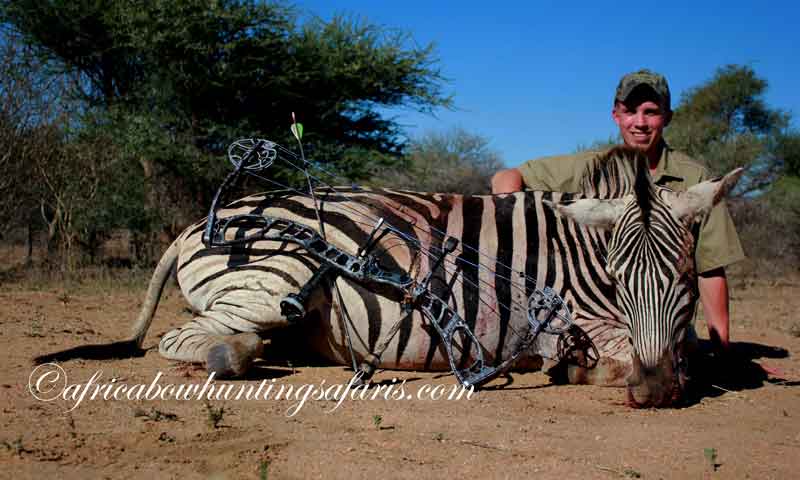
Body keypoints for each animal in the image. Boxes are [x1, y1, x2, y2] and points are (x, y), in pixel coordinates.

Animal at [37, 147, 742, 407]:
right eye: (620, 278)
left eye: (685, 279)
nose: (654, 392)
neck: (578, 258)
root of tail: (192, 226)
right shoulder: (586, 324)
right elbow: (621, 357)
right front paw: (573, 369)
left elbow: (691, 347)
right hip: (277, 273)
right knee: (186, 340)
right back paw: (234, 355)